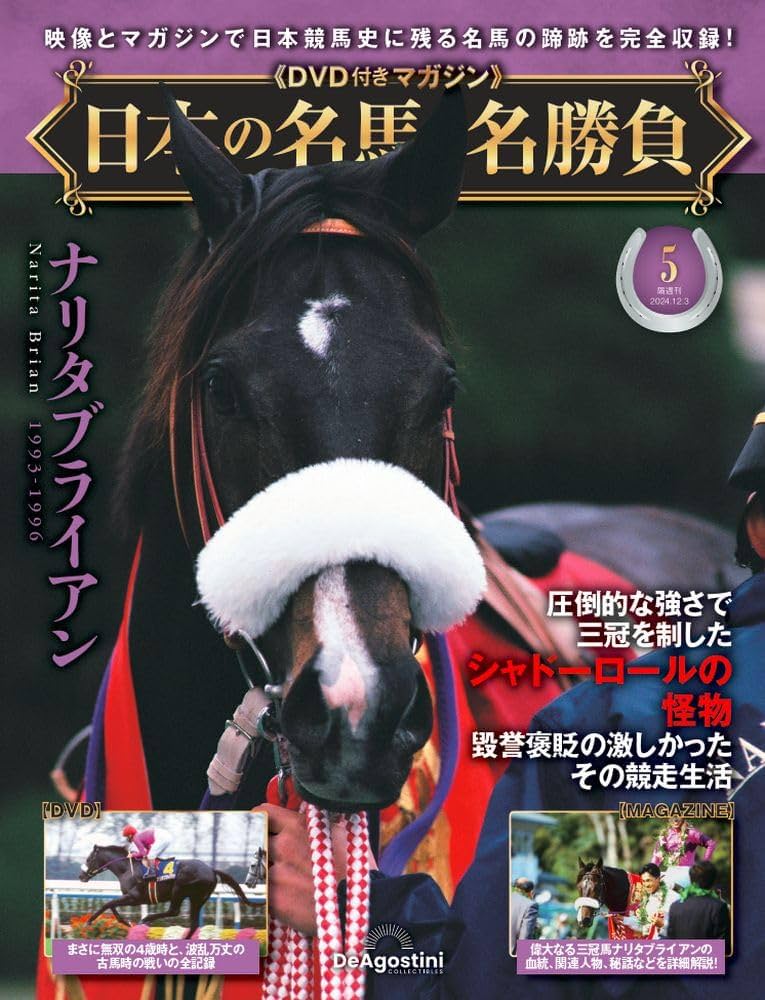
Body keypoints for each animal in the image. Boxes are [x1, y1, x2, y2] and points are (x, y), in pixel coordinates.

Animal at [79, 843, 258, 935]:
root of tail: (212, 870)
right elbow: (112, 906)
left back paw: (146, 919)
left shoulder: (135, 897)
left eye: (88, 859)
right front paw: (126, 922)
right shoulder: (130, 897)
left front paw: (89, 921)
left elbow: (108, 904)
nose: (81, 876)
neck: (127, 868)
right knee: (192, 923)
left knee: (174, 911)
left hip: (180, 889)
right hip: (198, 898)